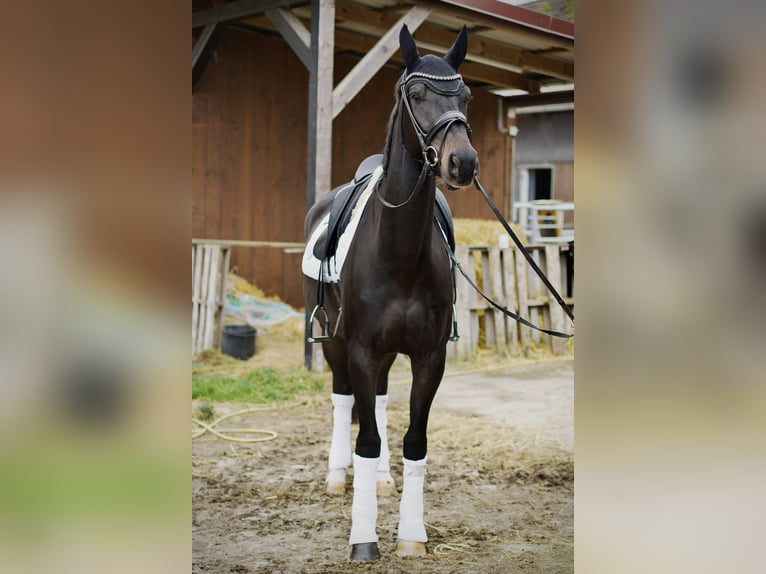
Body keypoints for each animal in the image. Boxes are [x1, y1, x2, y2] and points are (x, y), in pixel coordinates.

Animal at [304, 23, 476, 564]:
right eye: (416, 94)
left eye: (465, 95)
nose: (463, 162)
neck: (398, 253)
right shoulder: (359, 348)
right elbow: (367, 437)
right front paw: (363, 539)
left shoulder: (428, 356)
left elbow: (412, 441)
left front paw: (411, 534)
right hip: (335, 341)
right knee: (344, 402)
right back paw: (338, 477)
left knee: (377, 400)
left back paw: (380, 481)